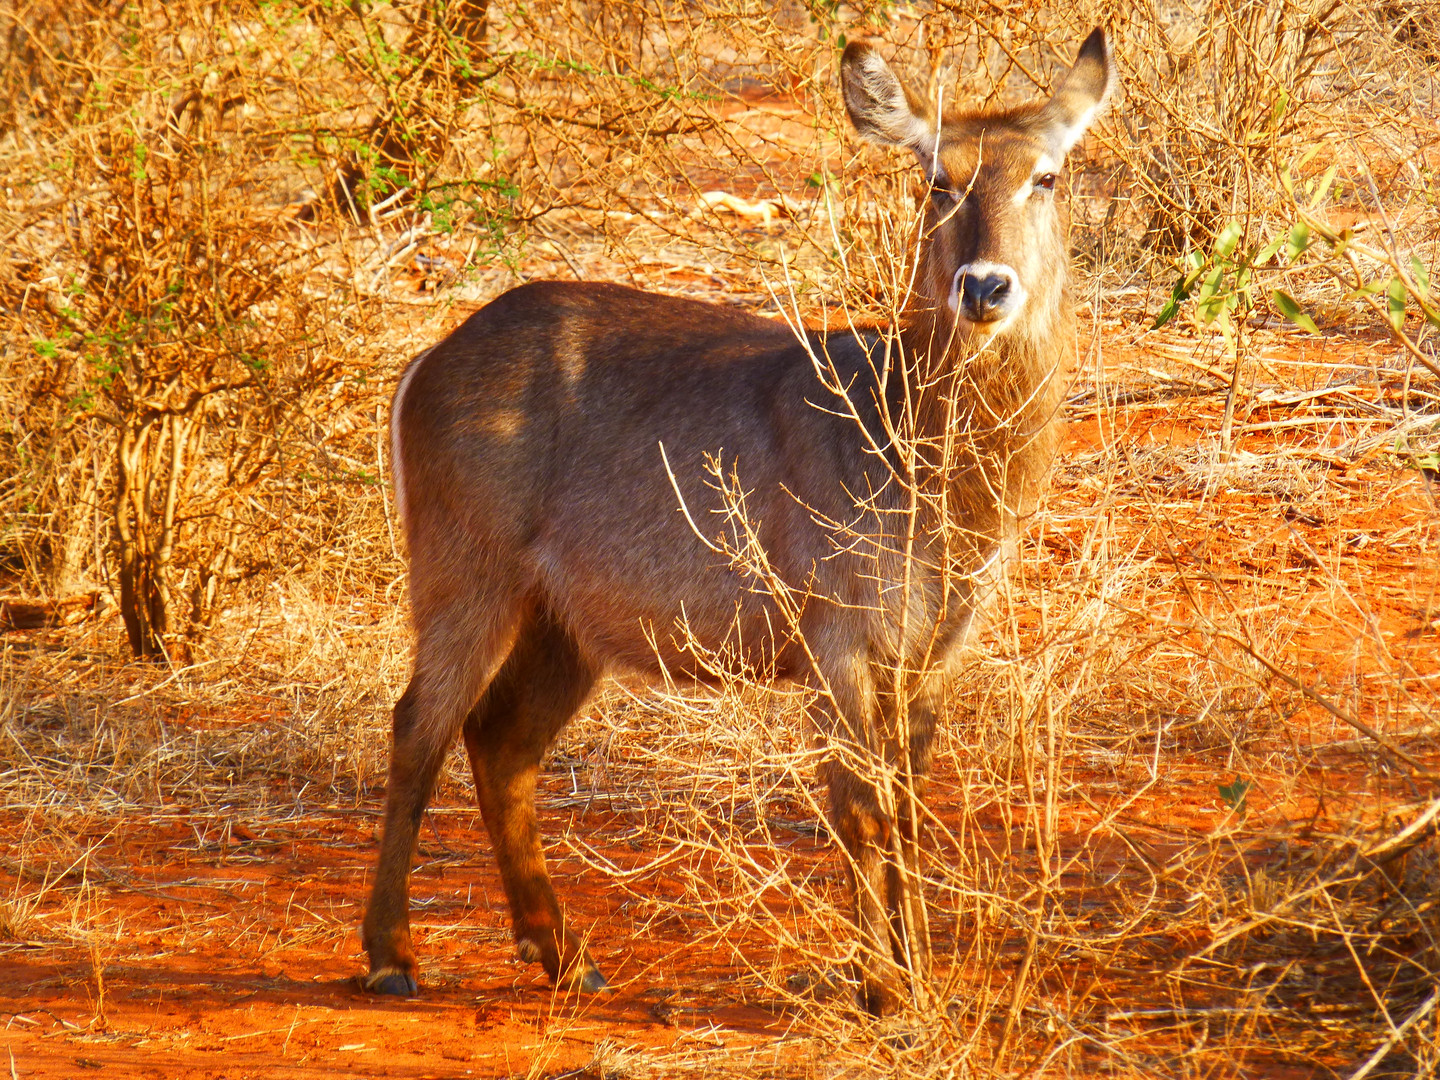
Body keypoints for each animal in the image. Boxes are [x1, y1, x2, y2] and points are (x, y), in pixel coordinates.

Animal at [365, 29, 1105, 1019]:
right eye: (936, 181)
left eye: (1047, 176)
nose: (984, 288)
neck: (913, 446)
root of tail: (434, 355)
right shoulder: (840, 641)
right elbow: (860, 804)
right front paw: (883, 986)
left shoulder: (937, 646)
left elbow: (909, 806)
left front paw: (921, 975)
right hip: (465, 582)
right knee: (419, 727)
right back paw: (391, 955)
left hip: (566, 627)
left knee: (500, 743)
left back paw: (566, 955)